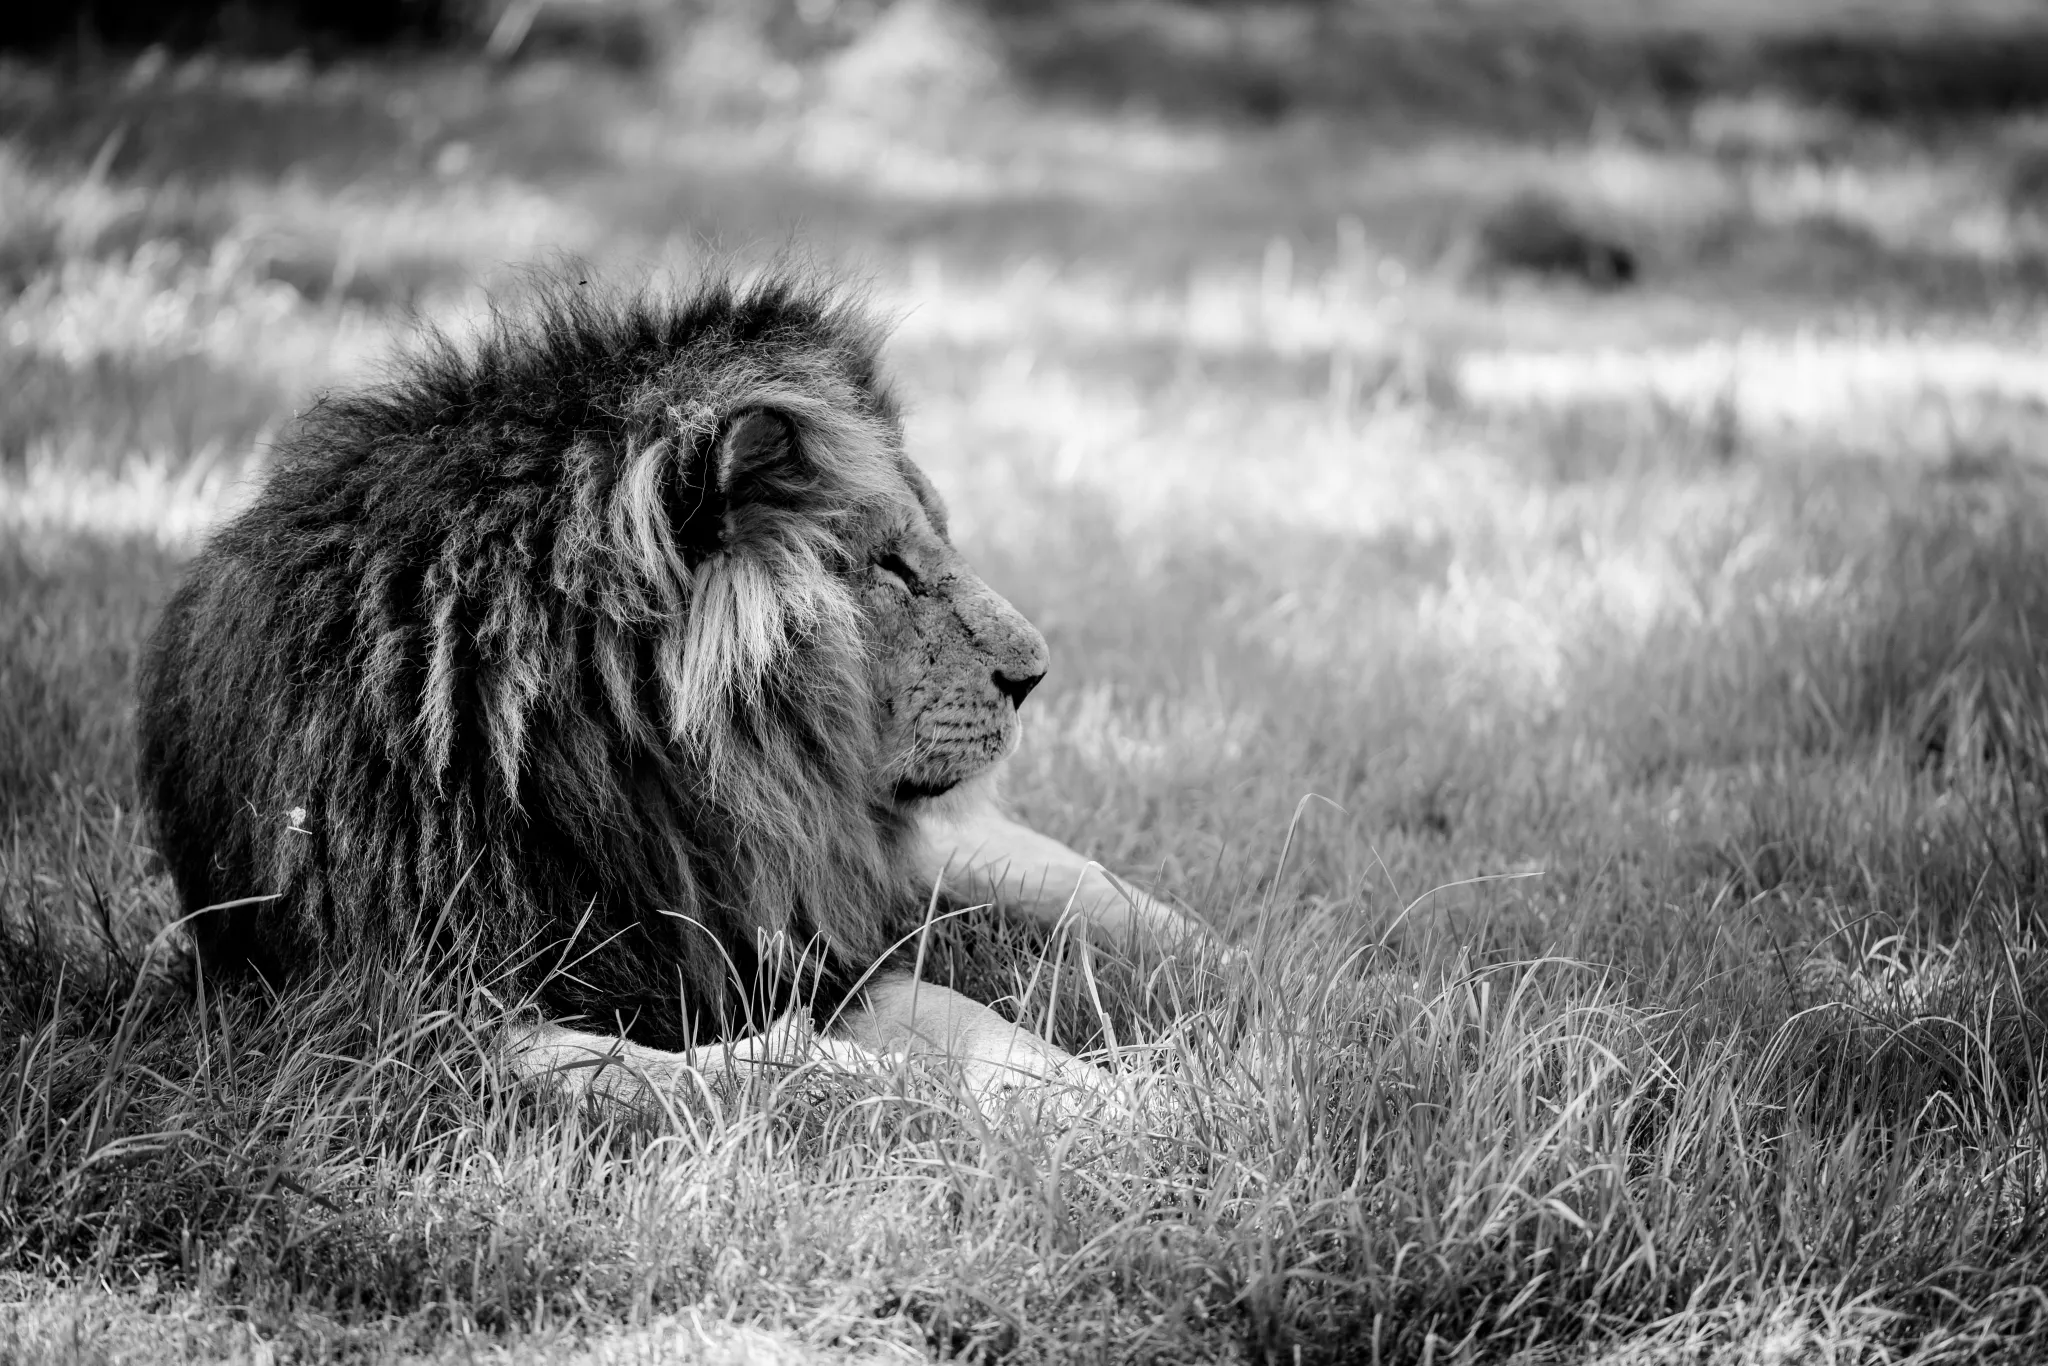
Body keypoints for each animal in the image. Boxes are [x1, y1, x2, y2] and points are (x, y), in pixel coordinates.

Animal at [135, 272, 1198, 1111]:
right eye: (891, 567)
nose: (1036, 674)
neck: (629, 784)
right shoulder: (401, 1019)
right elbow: (683, 1075)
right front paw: (869, 1085)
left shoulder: (806, 938)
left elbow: (977, 1020)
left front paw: (1128, 1103)